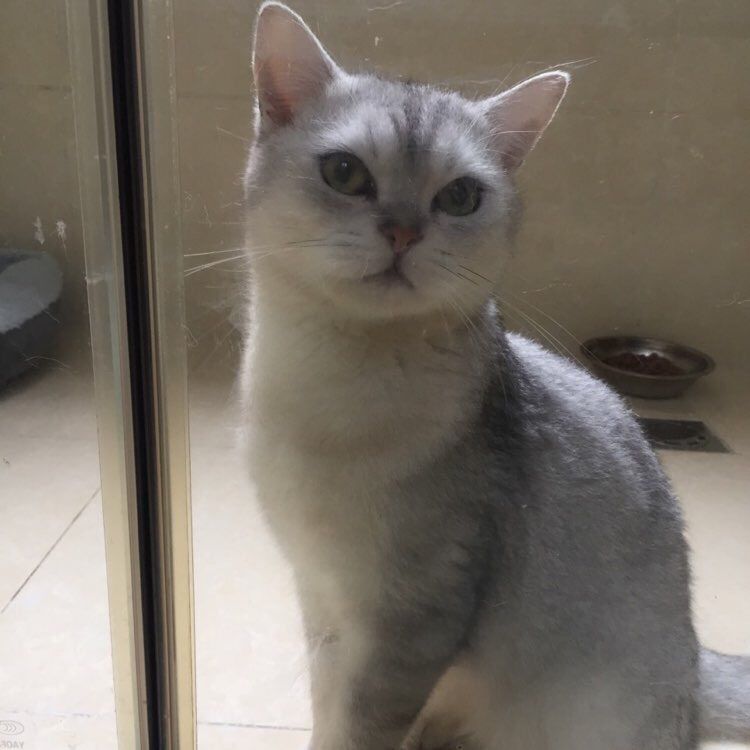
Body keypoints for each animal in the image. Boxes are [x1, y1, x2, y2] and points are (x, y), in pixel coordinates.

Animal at [238, 3, 750, 748]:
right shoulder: (323, 600)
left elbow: (356, 725)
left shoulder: (412, 618)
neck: (330, 388)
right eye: (344, 173)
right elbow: (325, 711)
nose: (402, 232)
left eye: (459, 197)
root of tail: (694, 672)